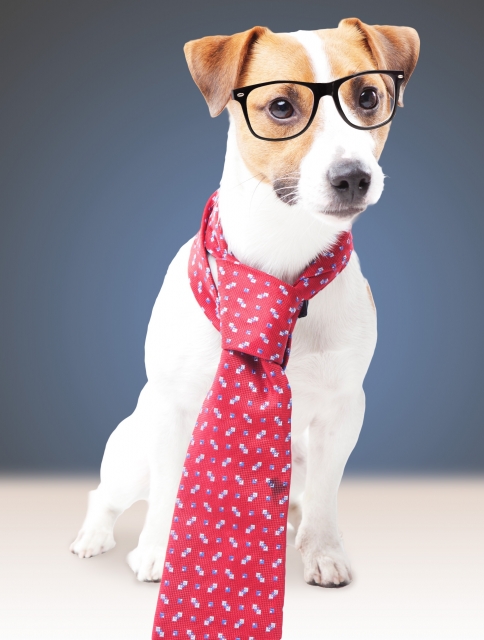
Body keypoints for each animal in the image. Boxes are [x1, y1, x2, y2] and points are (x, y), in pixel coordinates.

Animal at [70, 18, 418, 592]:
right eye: (280, 106)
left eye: (368, 96)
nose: (353, 176)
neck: (279, 259)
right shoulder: (173, 409)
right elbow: (169, 488)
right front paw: (160, 553)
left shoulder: (343, 410)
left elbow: (325, 494)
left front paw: (322, 550)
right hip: (133, 449)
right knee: (107, 494)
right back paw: (92, 537)